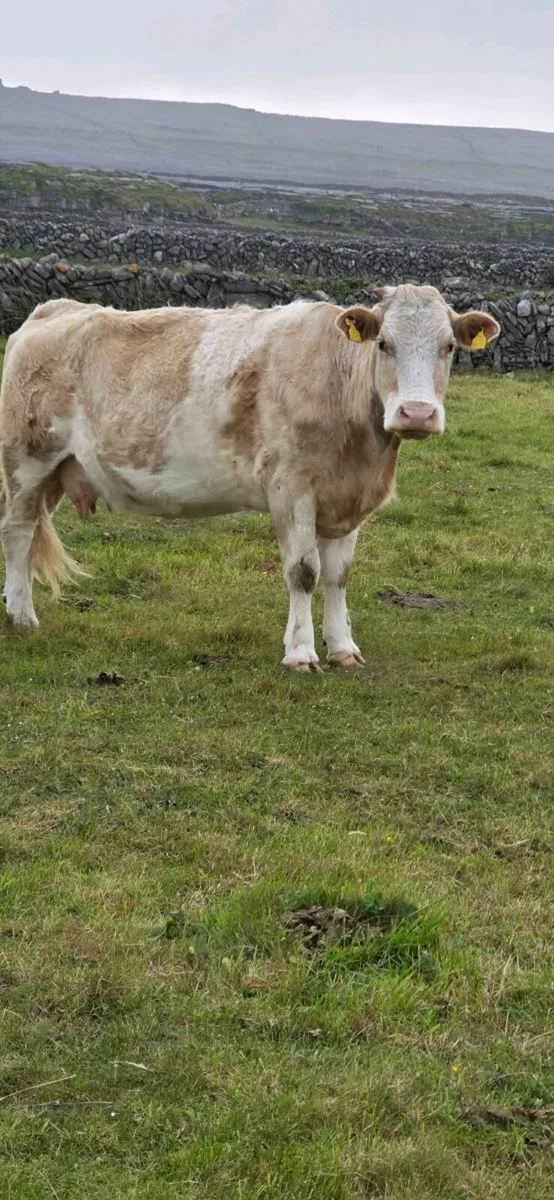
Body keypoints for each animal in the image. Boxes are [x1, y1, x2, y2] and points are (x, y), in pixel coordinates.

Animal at [0, 287, 500, 669]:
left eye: (448, 347)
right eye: (383, 344)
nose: (416, 413)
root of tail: (56, 309)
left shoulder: (348, 498)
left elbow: (338, 576)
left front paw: (342, 648)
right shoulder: (291, 487)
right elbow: (304, 572)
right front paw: (301, 653)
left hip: (56, 472)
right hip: (27, 462)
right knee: (18, 532)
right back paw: (23, 615)